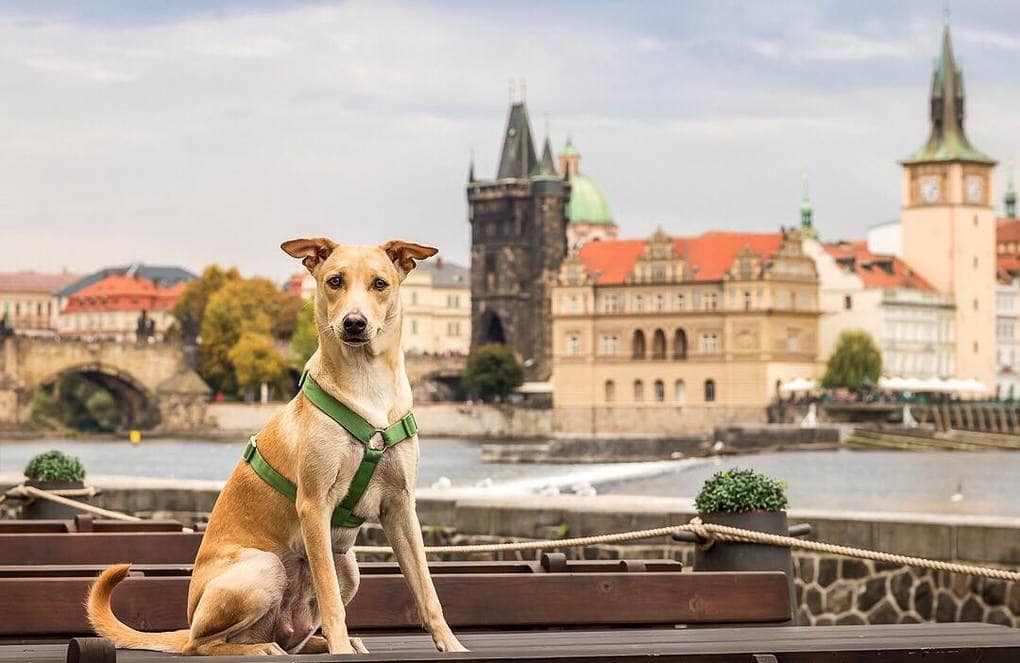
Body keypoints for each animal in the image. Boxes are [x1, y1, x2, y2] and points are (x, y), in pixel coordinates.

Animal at [86, 237, 467, 648]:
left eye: (380, 284)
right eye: (335, 281)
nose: (354, 323)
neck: (367, 387)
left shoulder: (401, 508)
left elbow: (427, 590)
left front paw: (451, 645)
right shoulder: (314, 506)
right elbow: (332, 602)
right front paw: (340, 647)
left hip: (348, 567)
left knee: (291, 639)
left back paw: (329, 643)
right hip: (263, 567)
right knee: (205, 645)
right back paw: (268, 649)